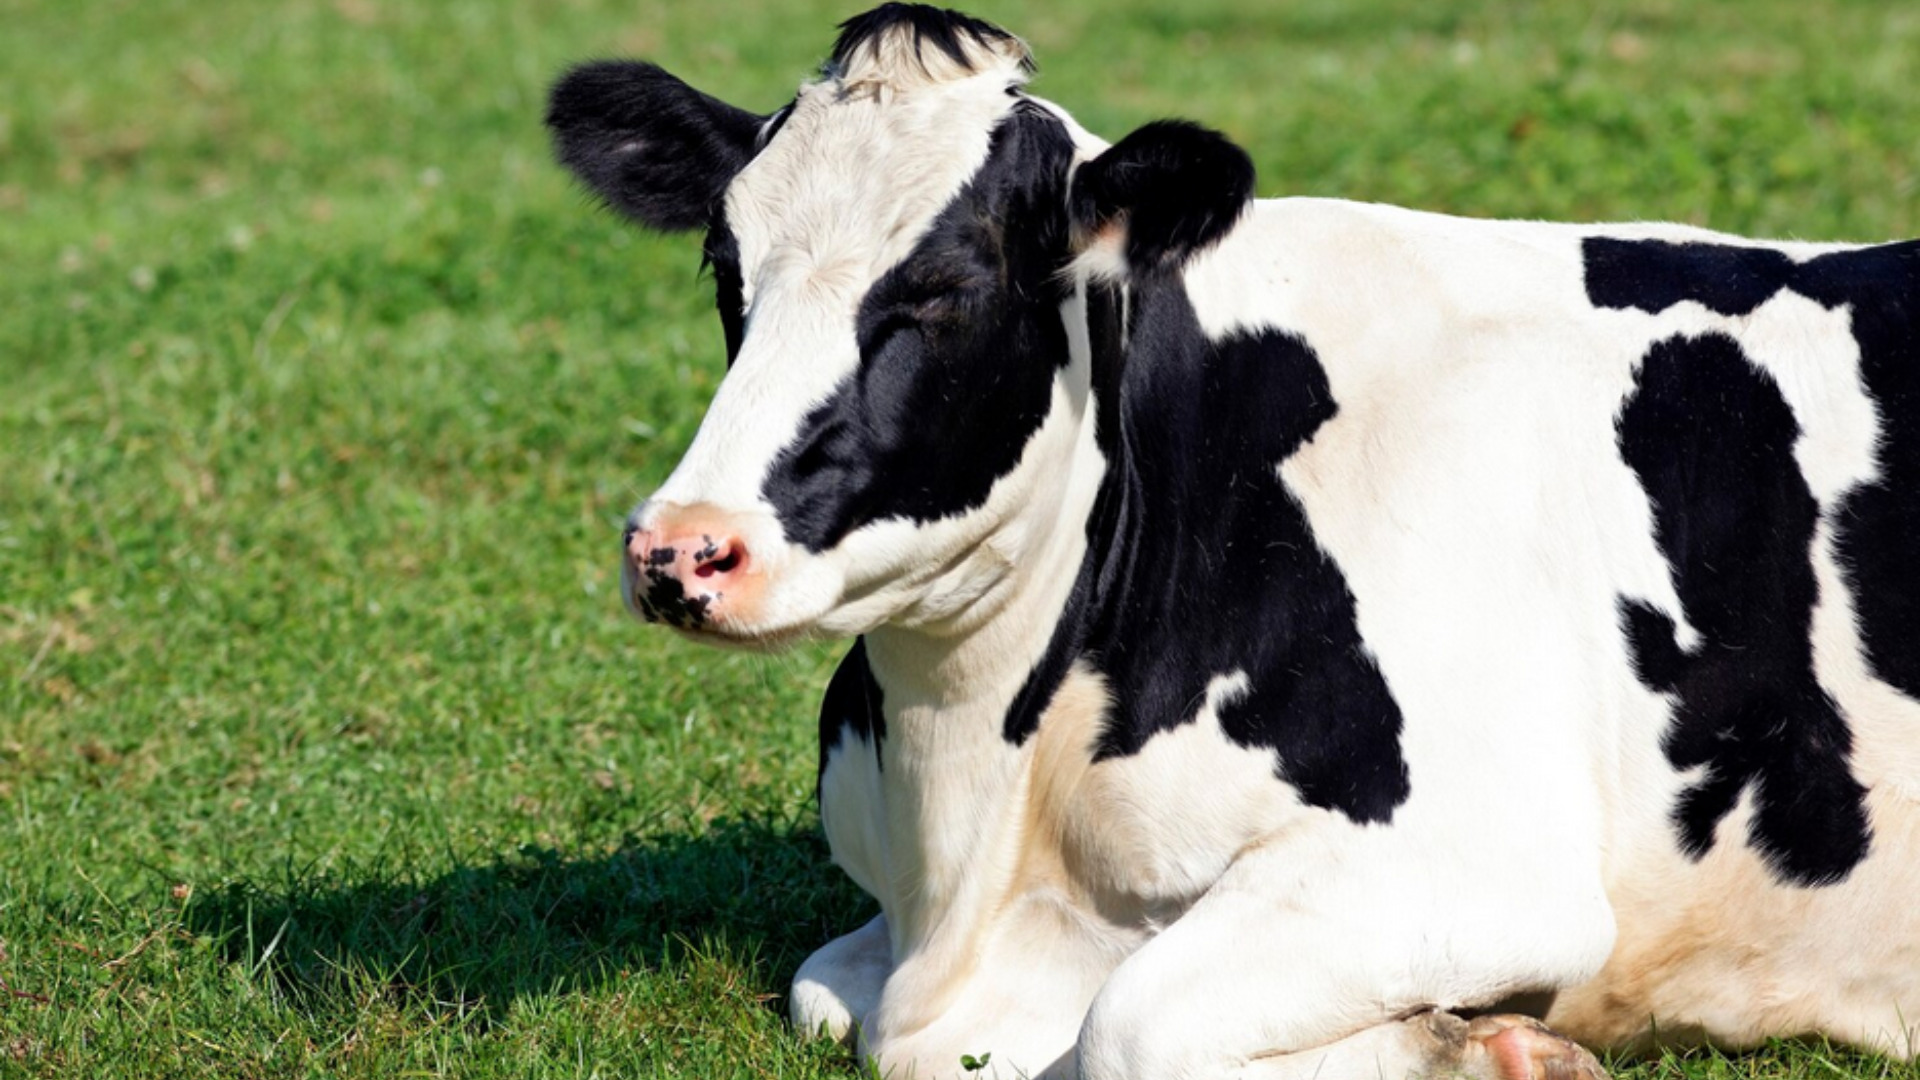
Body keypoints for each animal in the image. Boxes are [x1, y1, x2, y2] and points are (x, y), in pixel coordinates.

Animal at [544, 5, 1920, 1078]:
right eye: (725, 264)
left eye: (947, 290)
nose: (682, 549)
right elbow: (824, 991)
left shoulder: (1475, 866)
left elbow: (1128, 1029)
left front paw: (1484, 1048)